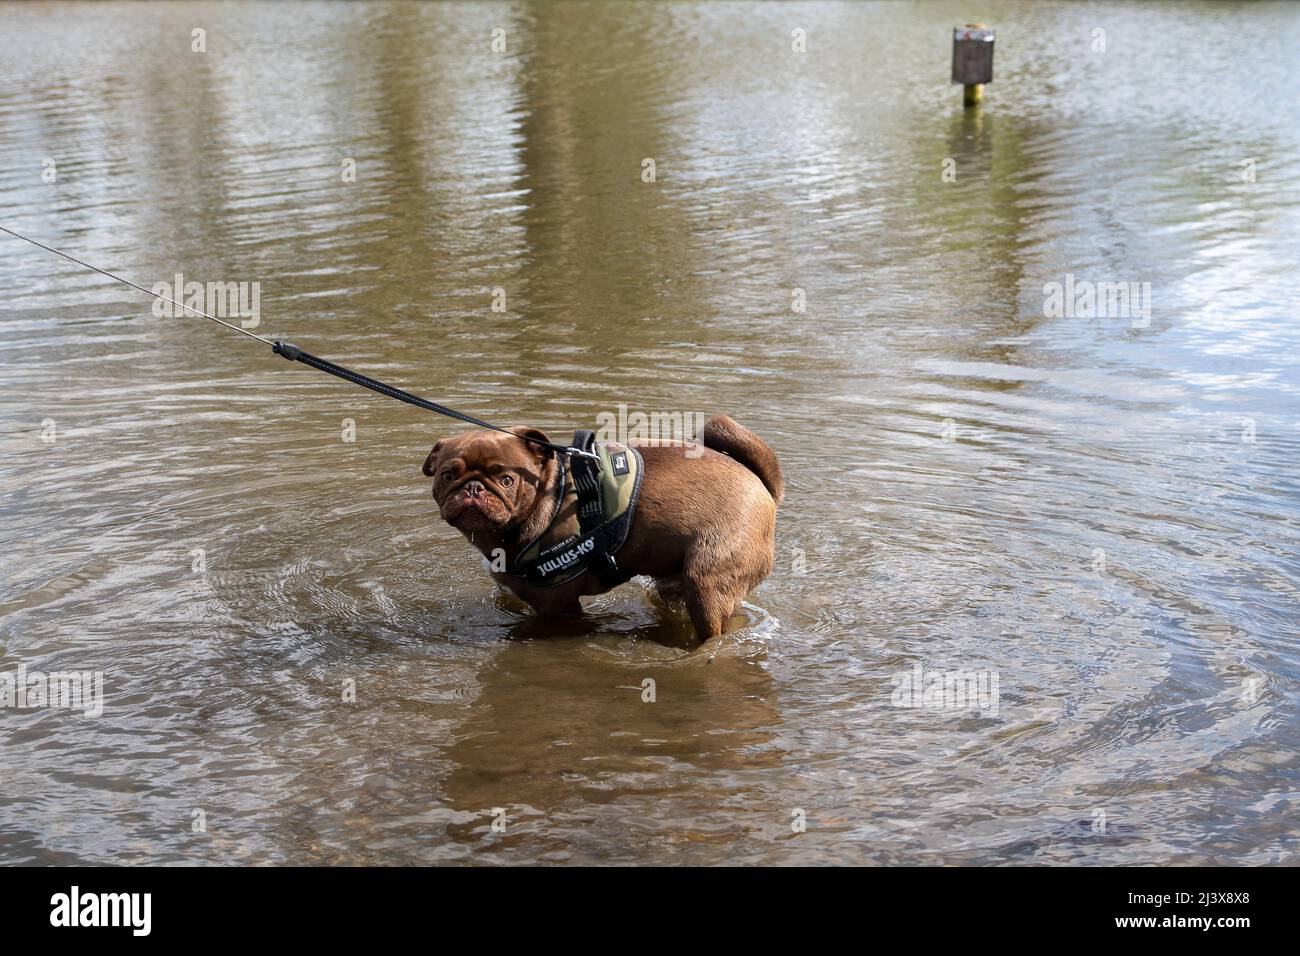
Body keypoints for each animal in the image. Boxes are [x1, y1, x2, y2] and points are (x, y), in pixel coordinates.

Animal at [421, 416, 780, 642]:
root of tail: (762, 486)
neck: (551, 493)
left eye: (507, 480)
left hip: (707, 583)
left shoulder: (557, 607)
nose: (473, 489)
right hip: (675, 585)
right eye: (447, 475)